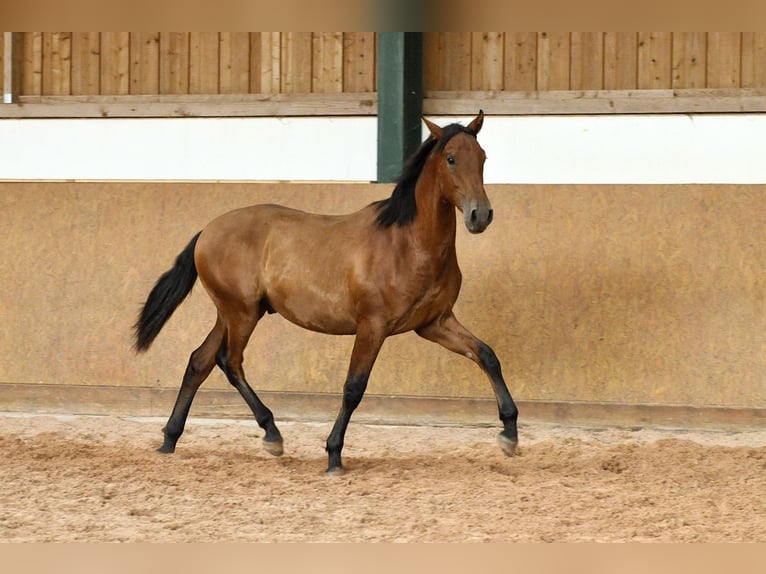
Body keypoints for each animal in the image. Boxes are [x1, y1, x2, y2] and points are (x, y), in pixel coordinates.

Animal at [133, 110, 518, 475]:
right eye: (451, 158)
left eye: (482, 157)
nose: (480, 215)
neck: (407, 244)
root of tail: (207, 231)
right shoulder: (373, 327)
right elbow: (353, 388)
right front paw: (334, 456)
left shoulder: (435, 323)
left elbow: (487, 356)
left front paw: (510, 434)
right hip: (241, 313)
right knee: (230, 361)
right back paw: (272, 435)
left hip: (233, 312)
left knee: (200, 361)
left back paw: (170, 440)